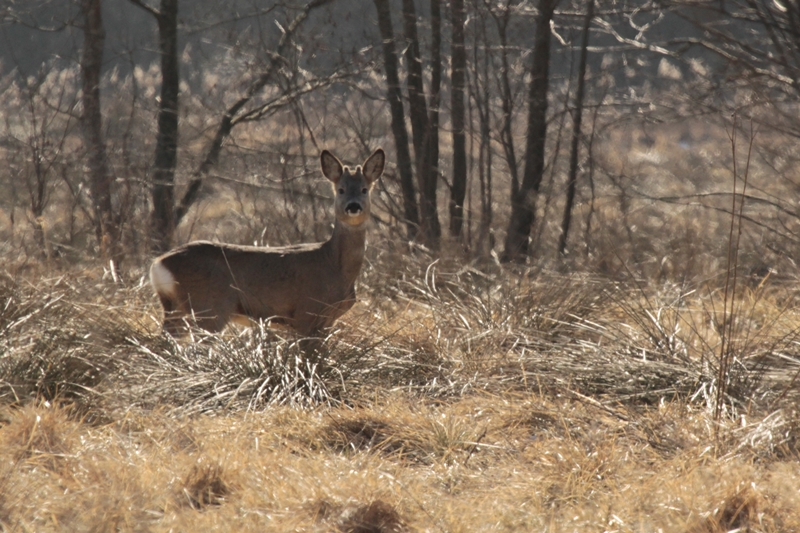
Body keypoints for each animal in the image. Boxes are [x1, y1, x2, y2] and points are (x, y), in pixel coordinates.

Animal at [152, 148, 388, 334]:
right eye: (341, 190)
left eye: (364, 189)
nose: (353, 206)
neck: (334, 266)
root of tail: (159, 264)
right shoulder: (307, 312)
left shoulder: (325, 321)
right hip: (209, 307)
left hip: (178, 310)